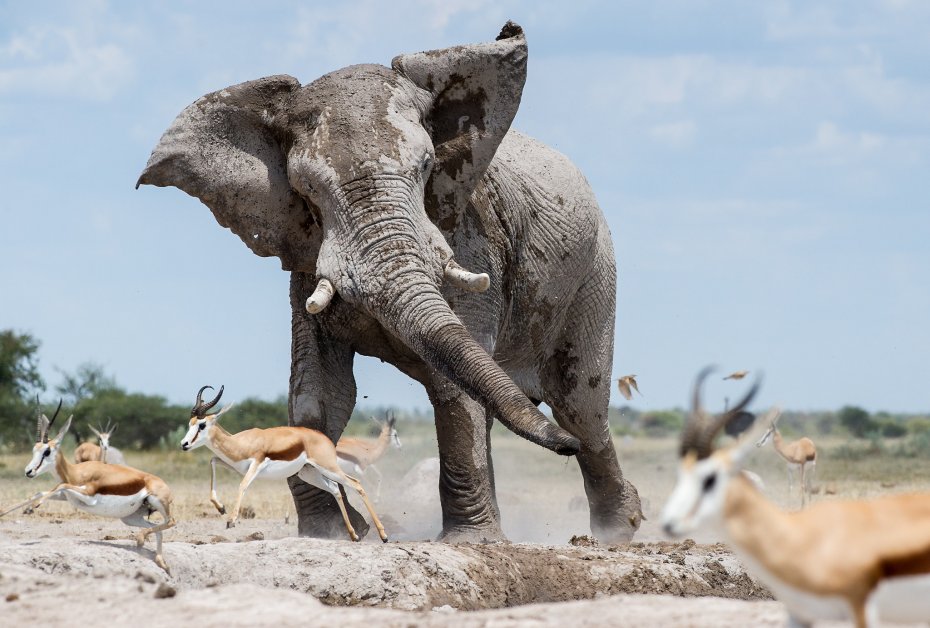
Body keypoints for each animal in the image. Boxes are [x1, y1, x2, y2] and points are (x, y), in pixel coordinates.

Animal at [2, 400, 174, 572]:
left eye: (47, 451)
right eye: (34, 450)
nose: (28, 471)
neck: (75, 472)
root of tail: (163, 485)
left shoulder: (88, 496)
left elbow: (60, 485)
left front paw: (34, 507)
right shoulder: (67, 496)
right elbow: (41, 492)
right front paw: (12, 511)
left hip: (157, 503)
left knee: (171, 522)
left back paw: (141, 540)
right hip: (130, 518)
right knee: (157, 528)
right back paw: (160, 561)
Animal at [181, 386, 388, 544]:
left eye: (201, 425)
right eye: (190, 423)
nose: (184, 444)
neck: (240, 442)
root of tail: (325, 439)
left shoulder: (256, 465)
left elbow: (242, 485)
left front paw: (231, 520)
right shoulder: (234, 465)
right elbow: (213, 461)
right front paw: (220, 508)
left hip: (328, 467)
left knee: (356, 484)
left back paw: (383, 536)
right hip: (310, 474)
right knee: (336, 489)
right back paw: (353, 535)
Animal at [664, 368, 928, 628]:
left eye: (709, 479)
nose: (670, 522)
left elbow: (800, 487)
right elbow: (791, 487)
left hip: (811, 467)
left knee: (808, 484)